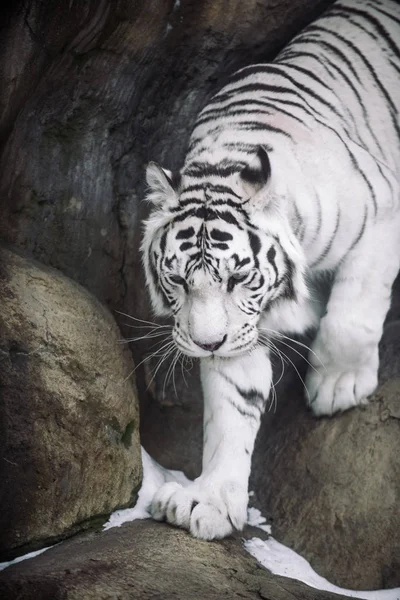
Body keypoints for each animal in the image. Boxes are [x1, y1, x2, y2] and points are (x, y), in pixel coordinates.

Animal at [141, 0, 400, 540]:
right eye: (178, 281)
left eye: (238, 278)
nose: (207, 343)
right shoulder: (237, 332)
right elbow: (231, 409)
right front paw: (208, 500)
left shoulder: (383, 213)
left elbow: (351, 317)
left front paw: (338, 388)